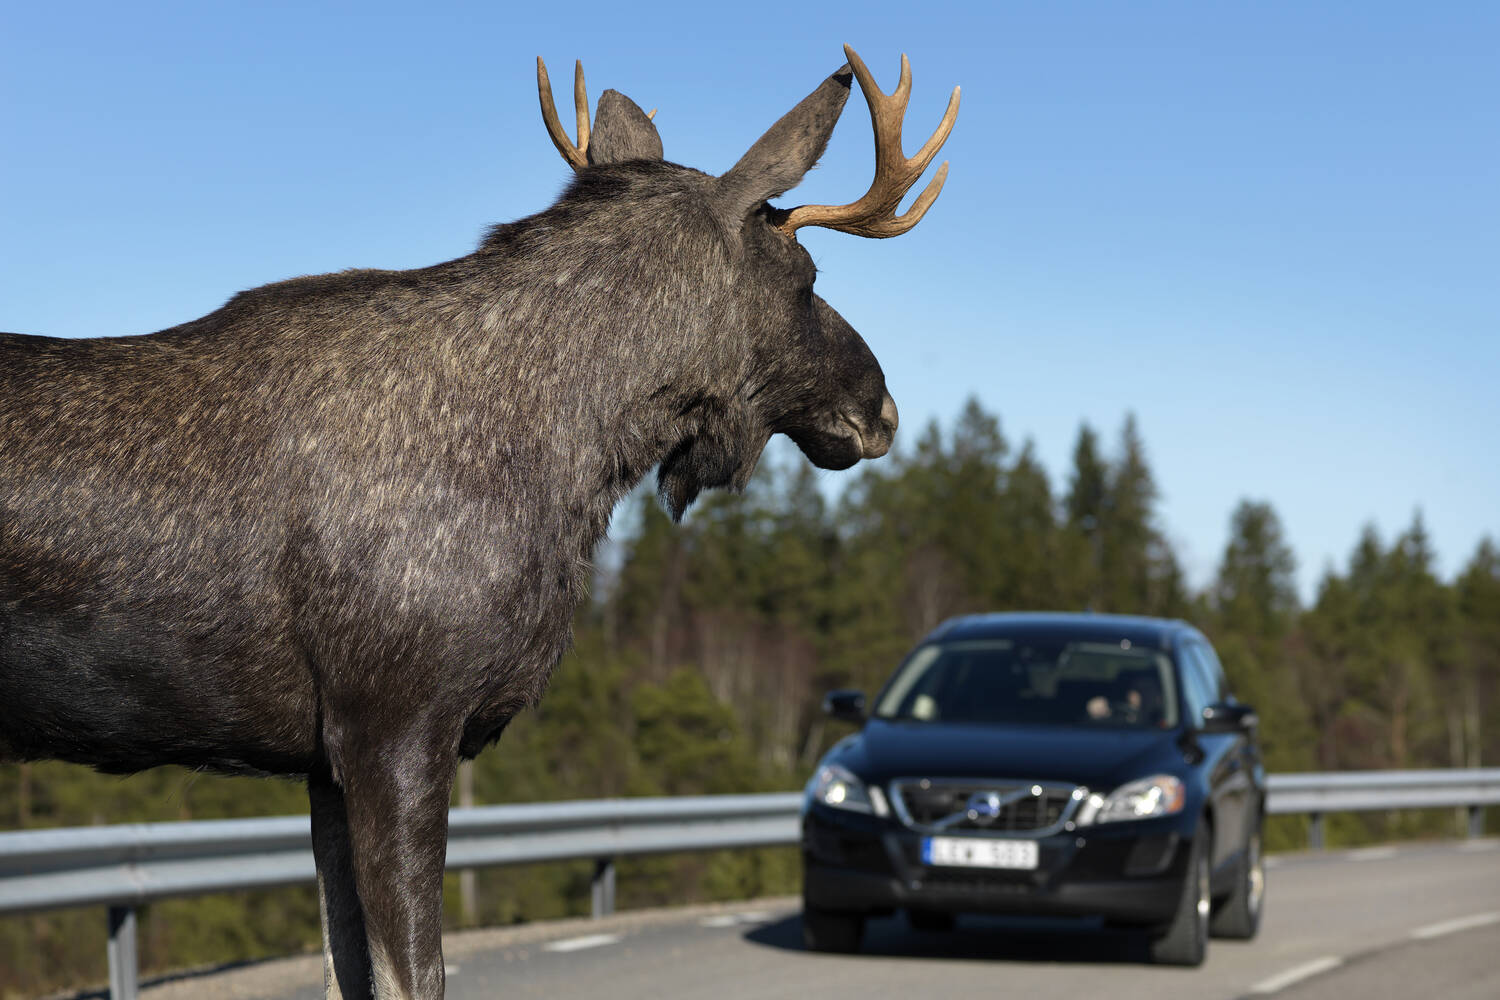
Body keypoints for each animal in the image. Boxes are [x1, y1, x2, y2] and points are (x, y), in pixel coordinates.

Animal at [0, 45, 958, 998]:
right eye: (807, 279)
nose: (881, 407)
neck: (568, 459)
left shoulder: (322, 761)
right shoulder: (395, 724)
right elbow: (412, 976)